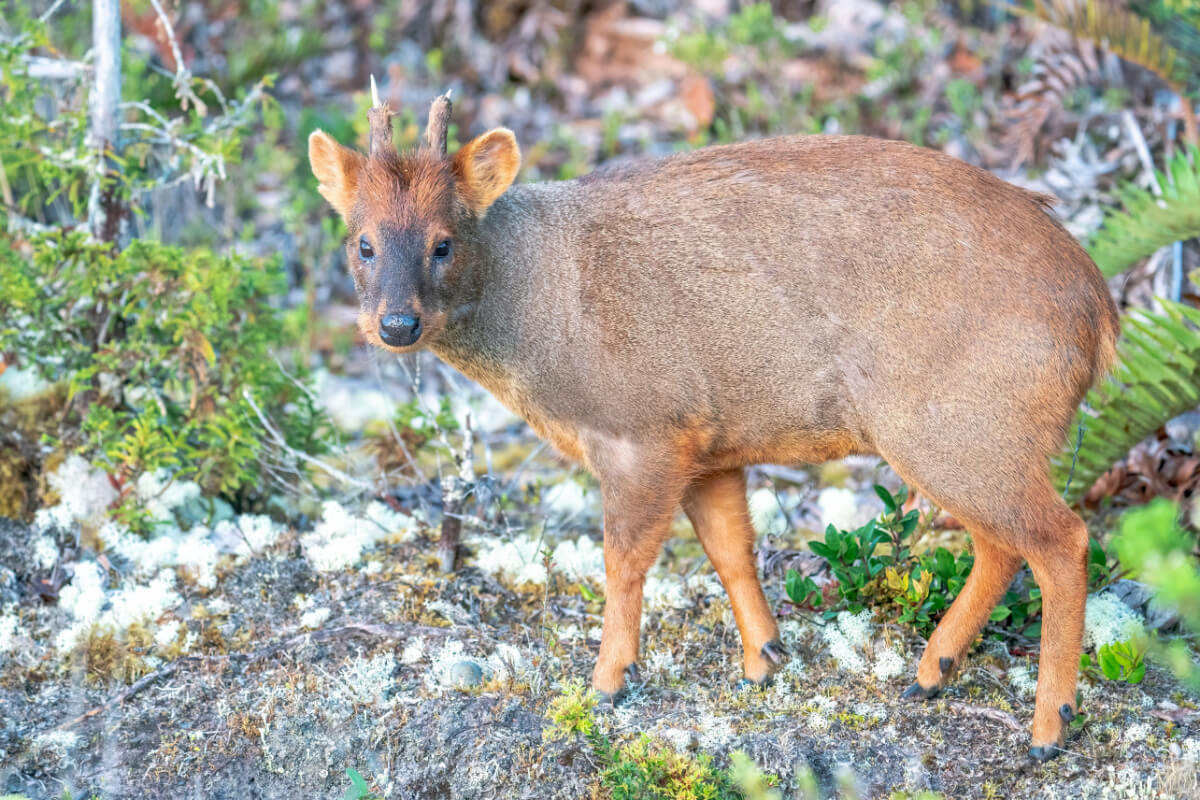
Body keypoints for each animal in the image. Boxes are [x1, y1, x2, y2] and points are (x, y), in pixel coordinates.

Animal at [307, 90, 1113, 762]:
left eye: (443, 241)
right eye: (362, 241)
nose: (395, 324)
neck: (545, 313)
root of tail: (1099, 312)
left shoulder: (642, 430)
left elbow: (625, 561)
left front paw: (608, 681)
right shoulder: (708, 441)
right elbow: (731, 550)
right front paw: (764, 662)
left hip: (958, 423)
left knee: (1062, 539)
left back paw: (1047, 729)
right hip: (966, 437)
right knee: (1003, 544)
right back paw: (931, 673)